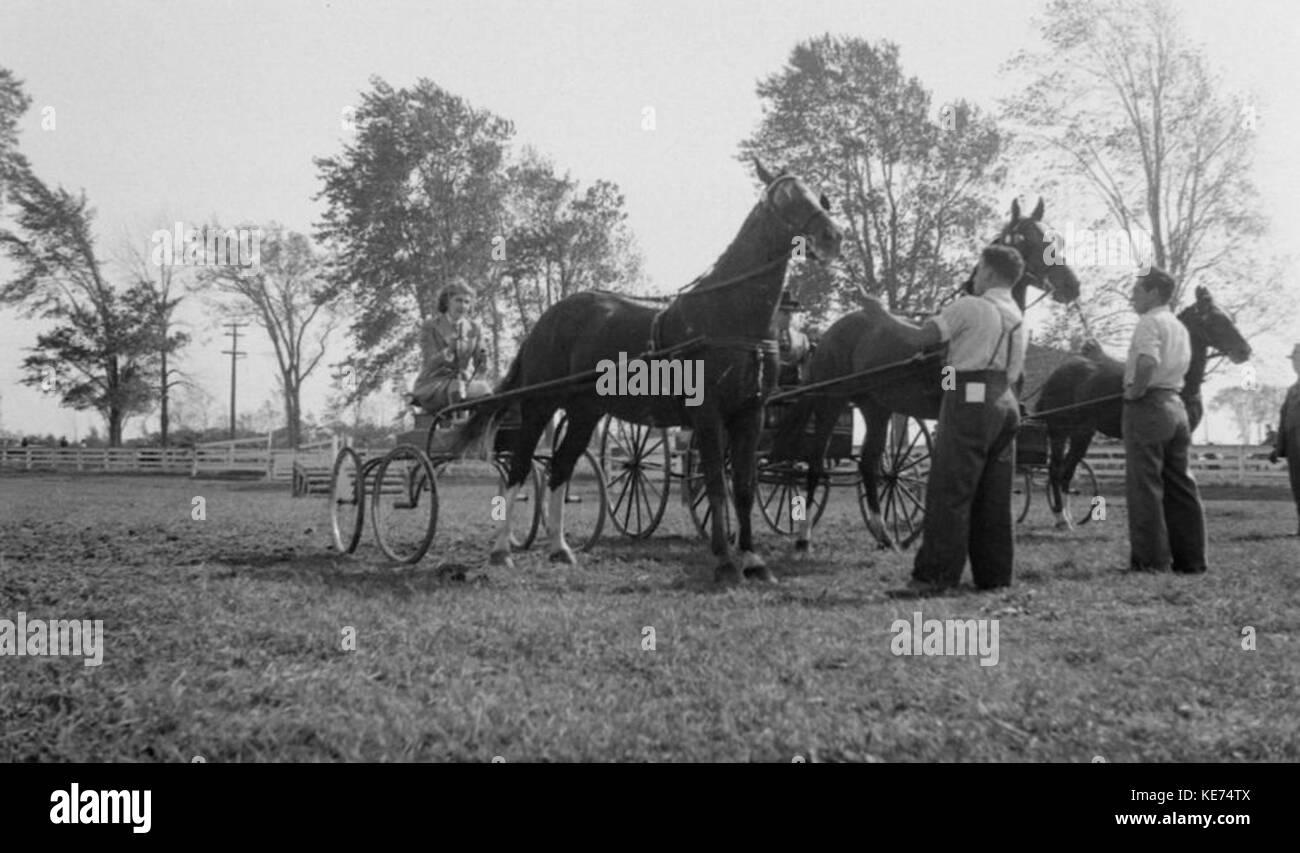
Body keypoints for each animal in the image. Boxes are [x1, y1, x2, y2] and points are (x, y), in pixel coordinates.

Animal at [452, 159, 842, 582]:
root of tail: (549, 318)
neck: (731, 315)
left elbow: (744, 487)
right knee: (521, 466)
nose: (832, 236)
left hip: (586, 411)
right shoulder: (708, 415)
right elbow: (716, 484)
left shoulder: (749, 413)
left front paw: (754, 561)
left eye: (818, 193)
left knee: (560, 467)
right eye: (785, 196)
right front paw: (724, 561)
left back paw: (560, 548)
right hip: (540, 403)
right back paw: (501, 550)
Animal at [769, 196, 1076, 548]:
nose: (1072, 285)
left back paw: (884, 535)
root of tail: (830, 334)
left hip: (876, 408)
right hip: (830, 402)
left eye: (1054, 236)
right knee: (816, 463)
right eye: (1026, 238)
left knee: (869, 464)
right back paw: (804, 536)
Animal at [1034, 286, 1248, 525]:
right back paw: (1061, 517)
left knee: (1066, 471)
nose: (1244, 351)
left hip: (1082, 433)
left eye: (1230, 319)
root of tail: (1056, 375)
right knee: (1055, 470)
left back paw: (1068, 518)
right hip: (1059, 431)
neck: (1183, 387)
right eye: (1215, 320)